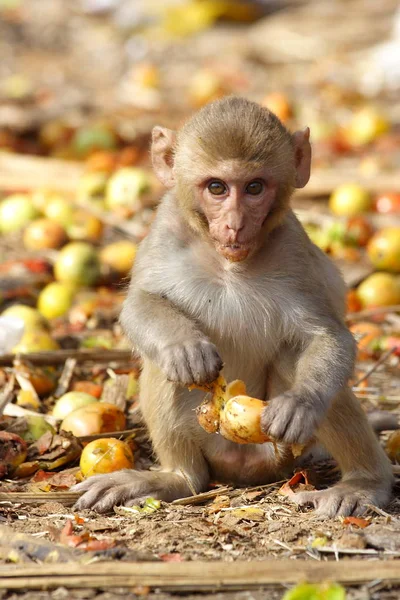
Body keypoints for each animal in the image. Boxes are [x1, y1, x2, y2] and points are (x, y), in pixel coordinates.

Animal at [74, 97, 390, 516]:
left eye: (254, 187)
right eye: (217, 187)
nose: (236, 224)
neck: (229, 264)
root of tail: (241, 466)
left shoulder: (293, 250)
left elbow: (327, 336)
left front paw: (301, 404)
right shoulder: (165, 228)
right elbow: (141, 304)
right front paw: (184, 347)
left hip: (282, 451)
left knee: (300, 357)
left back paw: (364, 484)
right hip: (209, 445)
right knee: (164, 372)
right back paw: (175, 477)